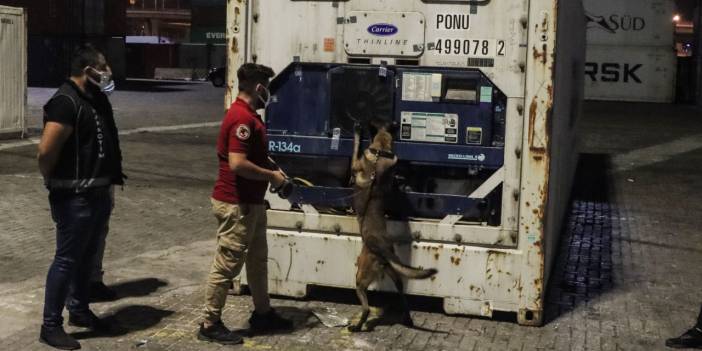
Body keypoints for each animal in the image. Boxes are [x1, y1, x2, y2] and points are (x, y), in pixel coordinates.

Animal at [348, 123, 438, 332]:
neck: (380, 151)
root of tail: (382, 250)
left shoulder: (355, 164)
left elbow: (355, 149)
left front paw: (357, 131)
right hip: (395, 276)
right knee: (403, 295)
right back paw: (408, 319)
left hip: (360, 277)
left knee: (366, 307)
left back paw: (357, 326)